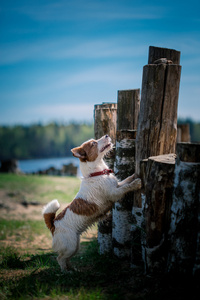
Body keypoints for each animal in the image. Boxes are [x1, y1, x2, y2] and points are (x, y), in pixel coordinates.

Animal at [43, 135, 141, 270]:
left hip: (75, 245)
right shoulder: (114, 193)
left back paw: (73, 269)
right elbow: (127, 187)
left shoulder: (116, 185)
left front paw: (134, 175)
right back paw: (65, 272)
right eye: (93, 143)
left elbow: (126, 180)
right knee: (60, 259)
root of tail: (53, 225)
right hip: (70, 245)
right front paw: (136, 183)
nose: (106, 135)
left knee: (66, 259)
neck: (96, 173)